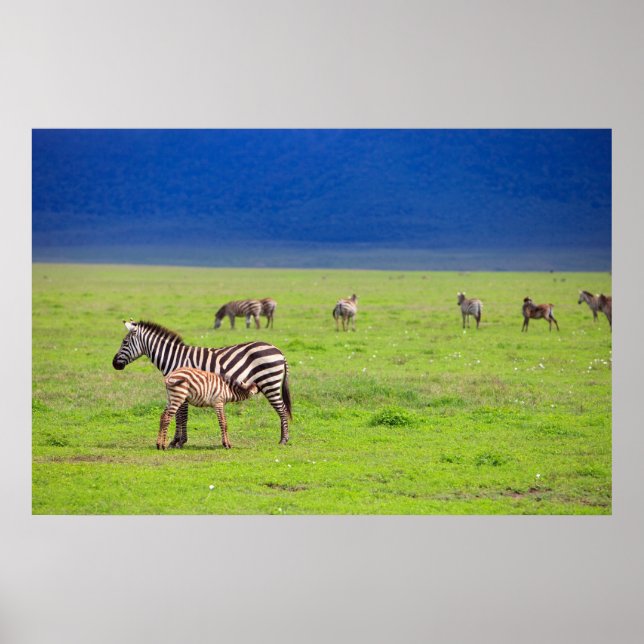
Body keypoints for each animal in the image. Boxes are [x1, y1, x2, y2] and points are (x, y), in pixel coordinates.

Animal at [112, 320, 292, 446]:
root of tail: (279, 351)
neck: (173, 358)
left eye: (125, 343)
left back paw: (283, 440)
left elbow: (181, 416)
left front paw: (178, 441)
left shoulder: (183, 389)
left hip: (270, 383)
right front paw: (177, 440)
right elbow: (179, 416)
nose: (114, 364)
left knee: (282, 409)